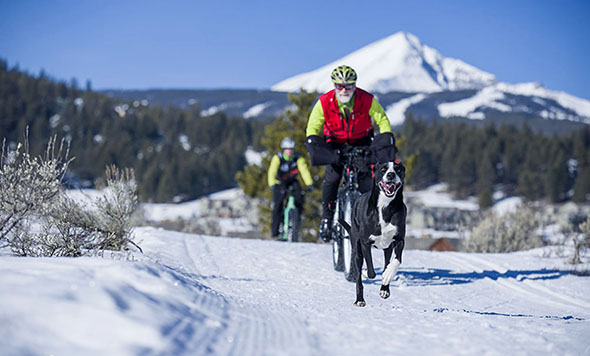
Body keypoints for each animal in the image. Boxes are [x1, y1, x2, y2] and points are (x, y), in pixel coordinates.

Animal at [342, 161, 408, 306]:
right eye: (383, 169)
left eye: (398, 169)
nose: (390, 175)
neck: (385, 206)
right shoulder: (365, 243)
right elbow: (371, 272)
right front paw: (366, 272)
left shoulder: (399, 240)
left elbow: (397, 260)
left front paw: (388, 276)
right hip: (356, 248)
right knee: (358, 276)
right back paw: (360, 300)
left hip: (387, 248)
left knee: (387, 261)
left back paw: (385, 288)